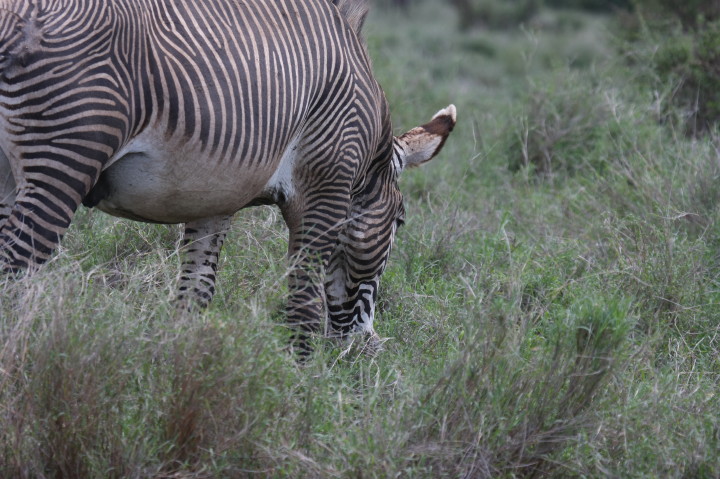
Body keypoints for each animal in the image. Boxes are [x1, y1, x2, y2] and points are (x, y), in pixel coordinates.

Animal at [0, 0, 456, 354]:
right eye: (400, 222)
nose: (369, 348)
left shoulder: (214, 199)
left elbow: (195, 294)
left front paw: (179, 380)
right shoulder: (326, 188)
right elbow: (305, 306)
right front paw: (300, 394)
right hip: (64, 160)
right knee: (14, 273)